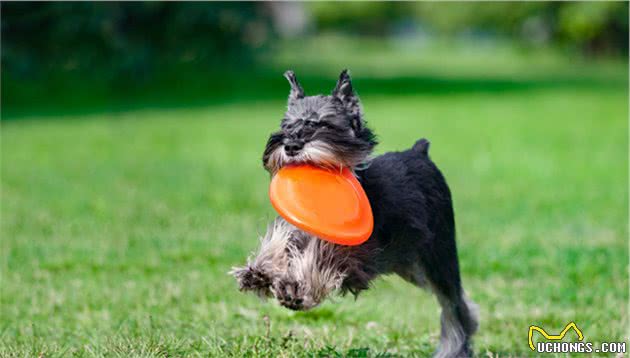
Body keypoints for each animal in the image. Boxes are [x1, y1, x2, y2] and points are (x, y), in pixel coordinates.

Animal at [232, 70, 478, 358]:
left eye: (325, 124)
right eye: (287, 124)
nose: (291, 145)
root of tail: (420, 151)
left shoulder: (356, 254)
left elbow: (323, 256)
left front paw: (295, 288)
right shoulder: (296, 227)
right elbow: (280, 240)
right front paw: (259, 271)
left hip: (439, 256)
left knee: (454, 305)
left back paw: (455, 348)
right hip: (412, 267)